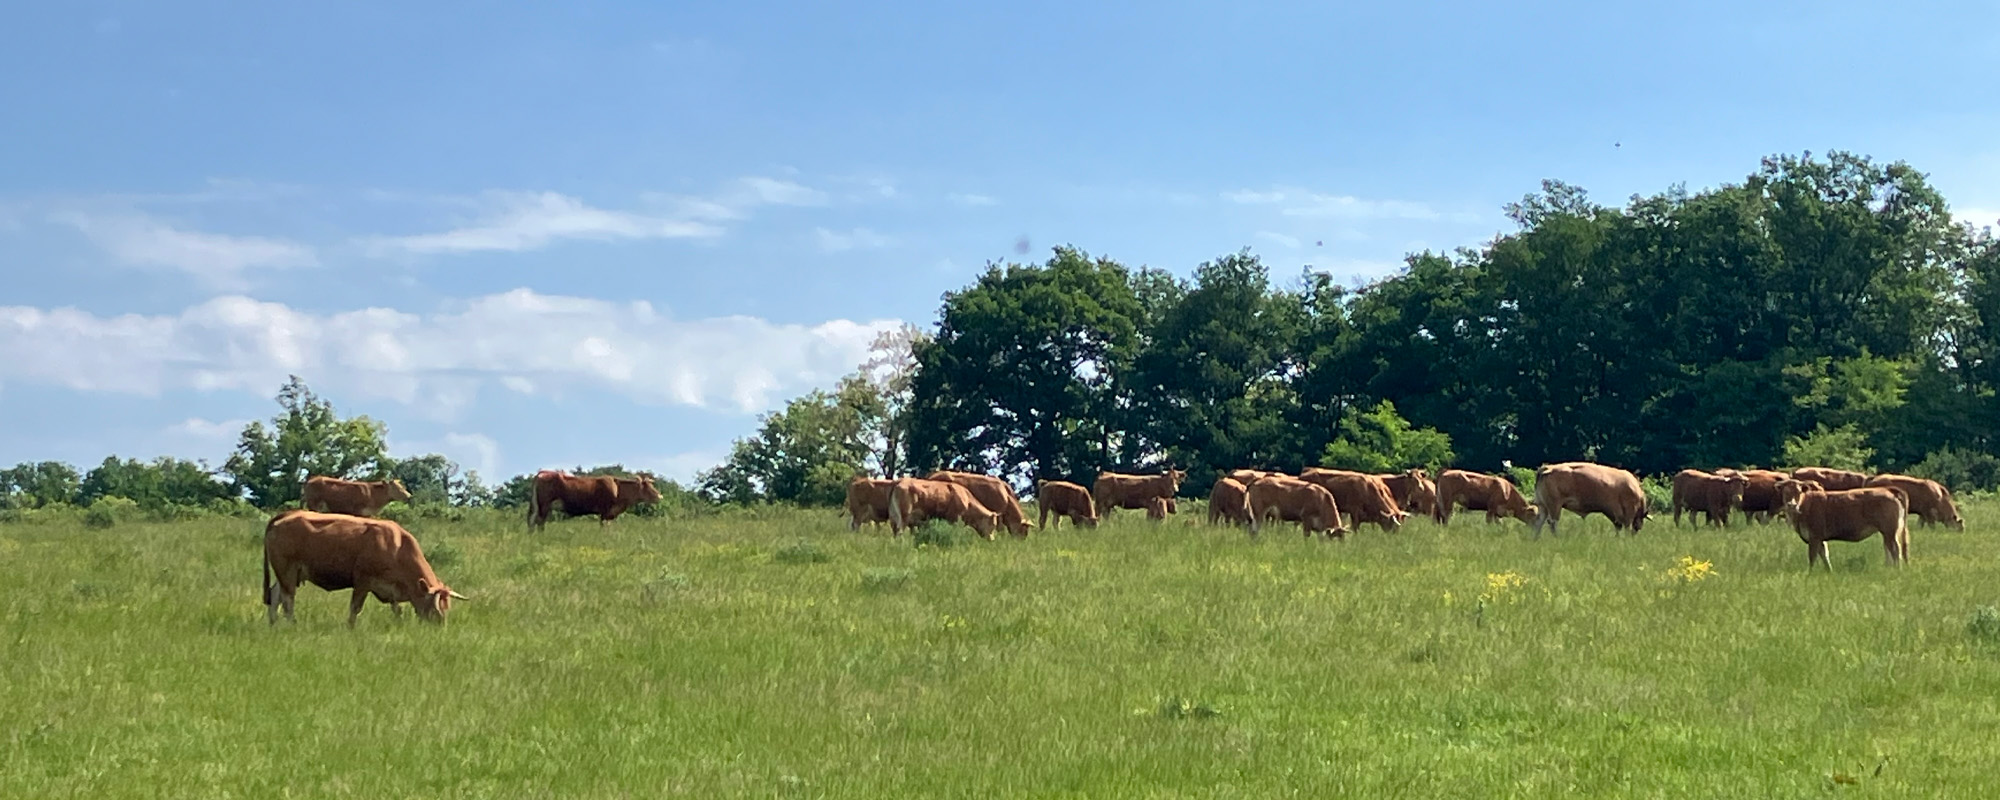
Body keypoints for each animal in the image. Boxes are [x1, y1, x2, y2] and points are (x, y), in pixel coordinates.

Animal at [263, 510, 468, 627]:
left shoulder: (390, 591)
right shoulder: (362, 582)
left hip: (288, 574)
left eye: (447, 607)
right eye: (435, 609)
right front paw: (350, 628)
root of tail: (286, 515)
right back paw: (292, 624)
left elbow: (397, 610)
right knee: (287, 600)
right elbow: (355, 608)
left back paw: (273, 624)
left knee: (276, 595)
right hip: (287, 571)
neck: (397, 547)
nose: (440, 628)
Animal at [526, 470, 663, 532]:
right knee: (539, 522)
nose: (660, 496)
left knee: (533, 522)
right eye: (647, 487)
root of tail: (543, 472)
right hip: (544, 505)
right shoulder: (605, 512)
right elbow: (603, 527)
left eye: (651, 485)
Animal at [1780, 485, 1910, 570]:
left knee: (1895, 549)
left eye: (1799, 492)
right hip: (1887, 533)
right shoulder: (1820, 538)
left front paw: (1810, 573)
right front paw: (1829, 572)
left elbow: (1812, 557)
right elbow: (1824, 555)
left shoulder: (1814, 537)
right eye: (1785, 493)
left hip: (1890, 531)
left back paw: (1897, 570)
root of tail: (1888, 490)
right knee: (1889, 549)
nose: (1791, 505)